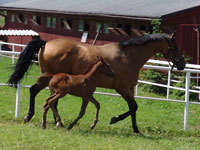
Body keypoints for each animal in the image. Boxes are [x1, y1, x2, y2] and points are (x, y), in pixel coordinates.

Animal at [8, 32, 186, 134]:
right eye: (175, 46)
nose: (182, 64)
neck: (129, 56)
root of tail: (46, 43)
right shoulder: (122, 88)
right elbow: (133, 107)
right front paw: (114, 119)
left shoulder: (130, 89)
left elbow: (133, 109)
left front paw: (136, 130)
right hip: (51, 80)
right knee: (40, 94)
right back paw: (39, 118)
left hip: (50, 80)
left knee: (45, 97)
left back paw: (53, 121)